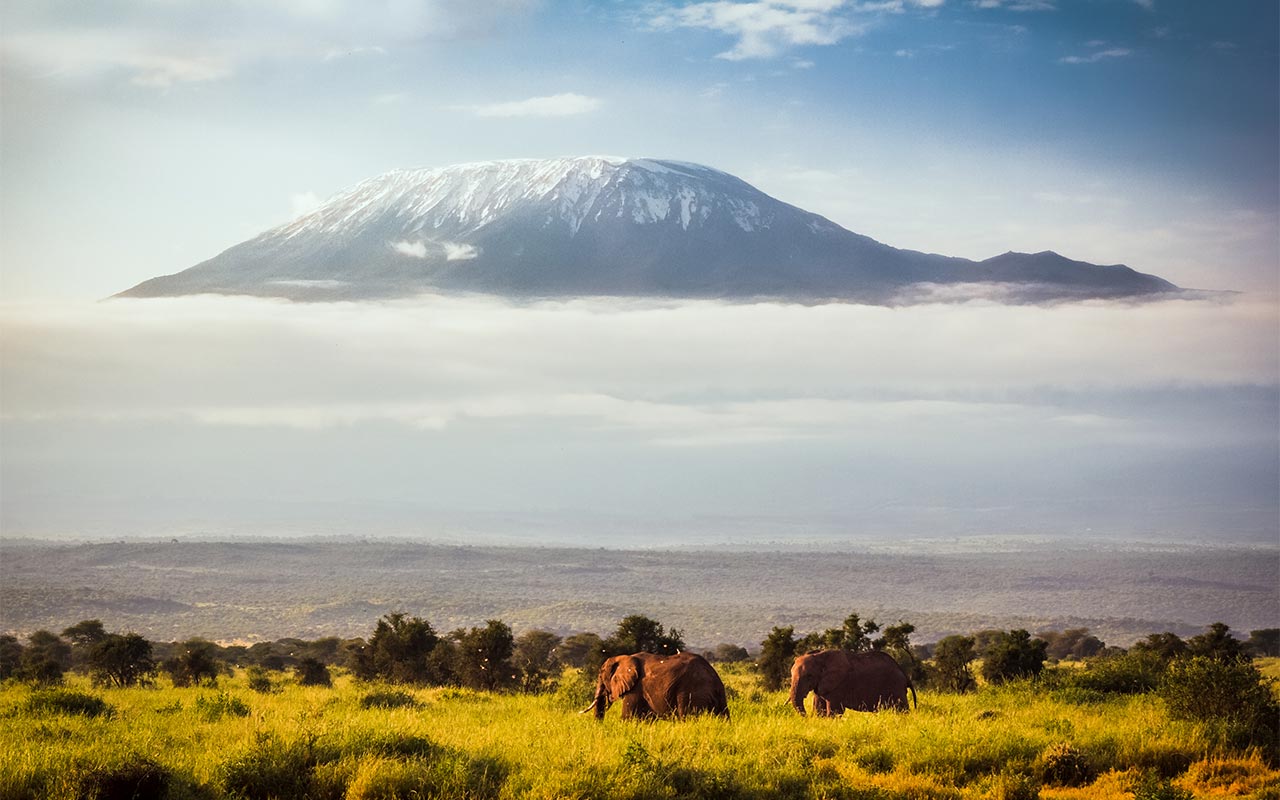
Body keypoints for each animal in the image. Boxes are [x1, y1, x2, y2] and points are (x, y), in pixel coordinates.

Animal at [583, 652, 727, 721]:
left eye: (601, 675)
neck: (626, 657)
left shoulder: (636, 689)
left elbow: (627, 717)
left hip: (692, 692)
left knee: (687, 716)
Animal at [783, 645, 916, 716]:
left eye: (809, 676)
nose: (806, 717)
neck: (819, 656)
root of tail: (903, 672)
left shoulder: (838, 685)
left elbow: (835, 711)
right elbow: (819, 710)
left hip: (896, 686)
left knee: (901, 709)